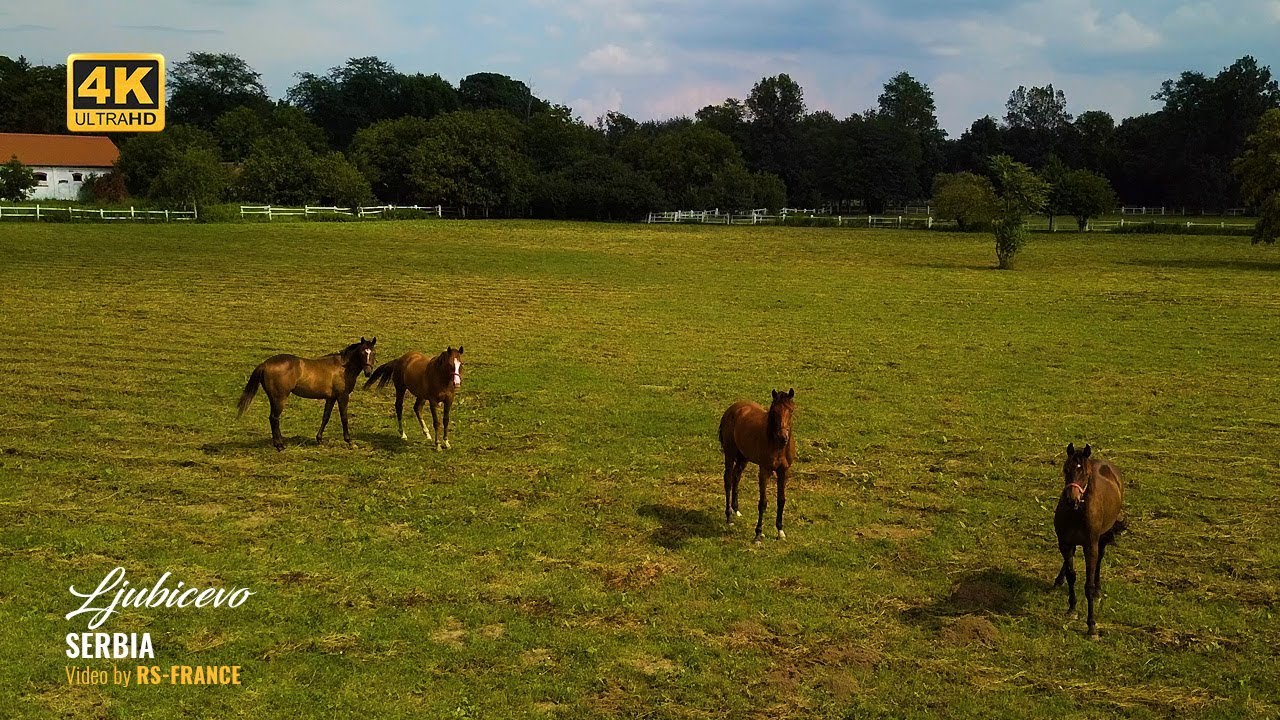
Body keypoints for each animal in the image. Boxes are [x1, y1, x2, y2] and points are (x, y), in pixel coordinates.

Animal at [236, 338, 377, 451]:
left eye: (373, 352)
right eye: (362, 352)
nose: (368, 372)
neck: (343, 367)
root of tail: (265, 364)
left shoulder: (331, 398)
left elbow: (325, 417)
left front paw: (319, 439)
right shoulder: (343, 396)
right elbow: (344, 418)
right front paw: (350, 441)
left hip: (274, 398)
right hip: (279, 398)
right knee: (274, 418)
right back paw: (280, 445)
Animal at [719, 388, 796, 543]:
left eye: (790, 410)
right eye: (774, 411)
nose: (782, 437)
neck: (777, 446)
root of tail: (732, 409)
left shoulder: (783, 471)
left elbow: (781, 500)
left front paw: (780, 531)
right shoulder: (764, 471)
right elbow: (763, 503)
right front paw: (758, 534)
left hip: (743, 457)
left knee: (736, 476)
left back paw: (736, 510)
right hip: (729, 454)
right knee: (728, 480)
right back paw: (729, 517)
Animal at [1053, 442, 1127, 638]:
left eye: (1085, 474)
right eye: (1066, 470)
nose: (1072, 500)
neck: (1077, 513)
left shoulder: (1090, 546)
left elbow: (1089, 585)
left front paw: (1091, 626)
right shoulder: (1064, 543)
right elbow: (1071, 575)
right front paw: (1071, 608)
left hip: (1102, 536)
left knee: (1100, 557)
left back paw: (1099, 589)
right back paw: (1058, 580)